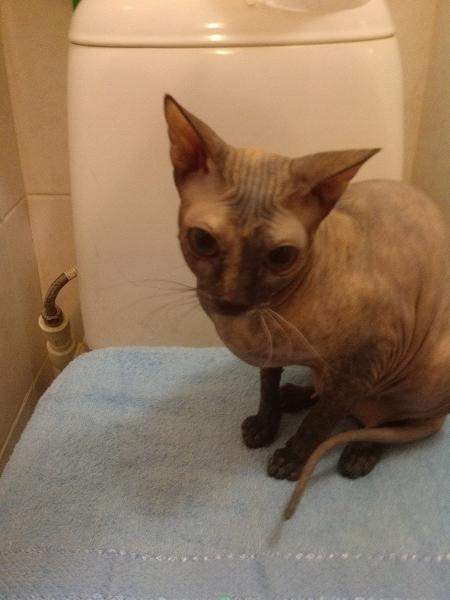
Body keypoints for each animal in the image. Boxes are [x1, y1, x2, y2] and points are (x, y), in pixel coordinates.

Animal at [163, 95, 450, 518]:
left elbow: (320, 422)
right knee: (330, 395)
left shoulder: (365, 365)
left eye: (281, 256)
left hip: (420, 369)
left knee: (386, 421)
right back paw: (295, 395)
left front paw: (292, 457)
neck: (269, 317)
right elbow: (268, 387)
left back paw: (361, 450)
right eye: (202, 240)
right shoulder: (273, 353)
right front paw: (266, 424)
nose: (231, 299)